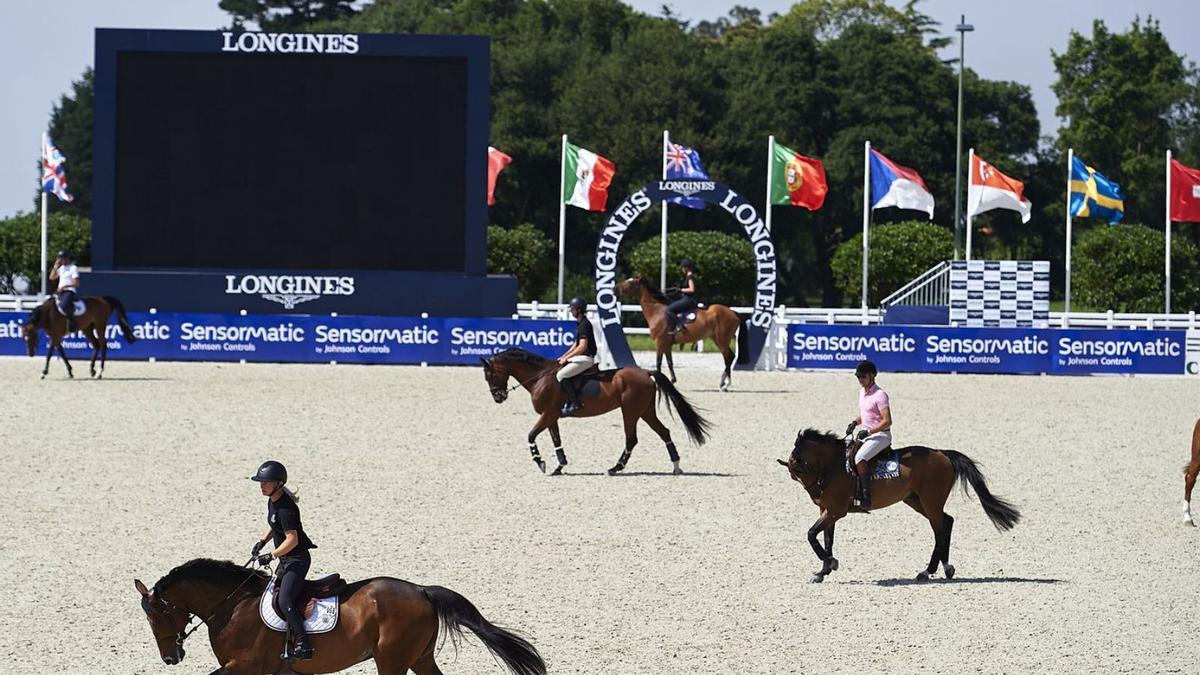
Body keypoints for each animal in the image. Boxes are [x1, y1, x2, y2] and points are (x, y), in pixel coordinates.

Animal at [135, 557, 544, 672]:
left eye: (157, 617)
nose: (170, 657)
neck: (233, 605)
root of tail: (423, 590)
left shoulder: (244, 666)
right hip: (419, 657)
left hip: (392, 659)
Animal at [480, 345, 710, 473]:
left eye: (489, 375)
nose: (498, 397)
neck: (540, 377)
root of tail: (645, 372)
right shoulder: (552, 417)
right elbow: (556, 440)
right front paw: (559, 466)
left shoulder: (547, 414)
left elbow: (530, 435)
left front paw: (540, 462)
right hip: (645, 411)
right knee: (664, 432)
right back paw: (676, 466)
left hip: (630, 411)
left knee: (632, 439)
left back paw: (616, 468)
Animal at [777, 427, 1022, 581]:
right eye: (794, 475)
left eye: (802, 467)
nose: (815, 494)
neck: (835, 466)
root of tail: (941, 453)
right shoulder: (828, 510)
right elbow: (827, 539)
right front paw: (823, 570)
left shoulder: (836, 511)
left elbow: (811, 534)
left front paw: (831, 564)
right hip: (916, 501)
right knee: (947, 522)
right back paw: (946, 568)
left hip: (930, 501)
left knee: (940, 529)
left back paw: (928, 571)